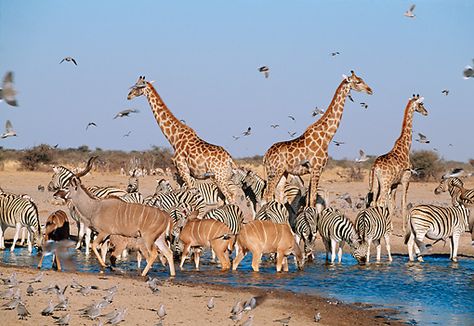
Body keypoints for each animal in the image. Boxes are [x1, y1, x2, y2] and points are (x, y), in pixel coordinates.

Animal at [262, 71, 372, 206]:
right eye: (358, 82)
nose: (370, 90)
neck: (327, 136)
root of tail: (266, 155)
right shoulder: (317, 168)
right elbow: (313, 199)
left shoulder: (313, 170)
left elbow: (309, 199)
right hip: (274, 171)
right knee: (267, 196)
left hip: (283, 172)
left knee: (277, 196)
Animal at [366, 94, 430, 232]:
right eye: (421, 104)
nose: (426, 112)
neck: (406, 148)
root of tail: (375, 167)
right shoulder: (406, 180)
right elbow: (403, 203)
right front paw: (404, 229)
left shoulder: (394, 184)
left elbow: (392, 204)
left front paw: (391, 227)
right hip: (385, 183)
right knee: (380, 201)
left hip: (376, 183)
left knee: (374, 201)